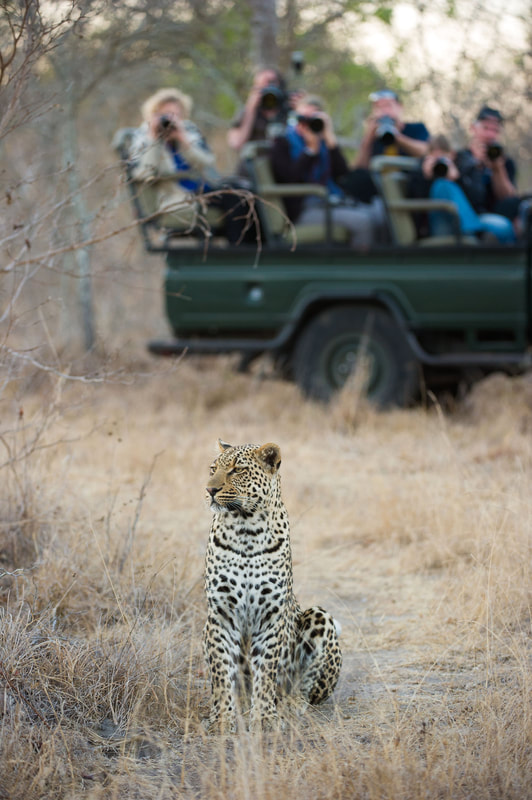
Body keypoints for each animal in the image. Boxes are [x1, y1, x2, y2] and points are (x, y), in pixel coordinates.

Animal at [203, 439, 342, 733]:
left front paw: (265, 718)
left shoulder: (271, 614)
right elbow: (221, 671)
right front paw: (222, 719)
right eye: (213, 469)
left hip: (320, 616)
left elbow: (266, 670)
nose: (209, 490)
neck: (245, 528)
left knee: (307, 689)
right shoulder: (220, 614)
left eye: (237, 470)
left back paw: (290, 703)